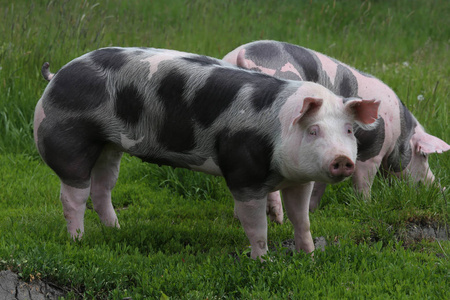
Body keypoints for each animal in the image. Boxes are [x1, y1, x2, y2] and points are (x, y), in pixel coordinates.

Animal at [36, 46, 380, 258]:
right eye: (313, 130)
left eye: (349, 131)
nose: (342, 159)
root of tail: (56, 77)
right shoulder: (243, 173)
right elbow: (256, 224)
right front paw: (262, 261)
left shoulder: (298, 180)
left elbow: (301, 219)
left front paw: (309, 256)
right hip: (69, 141)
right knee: (72, 196)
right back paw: (78, 240)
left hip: (109, 146)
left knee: (102, 188)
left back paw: (116, 230)